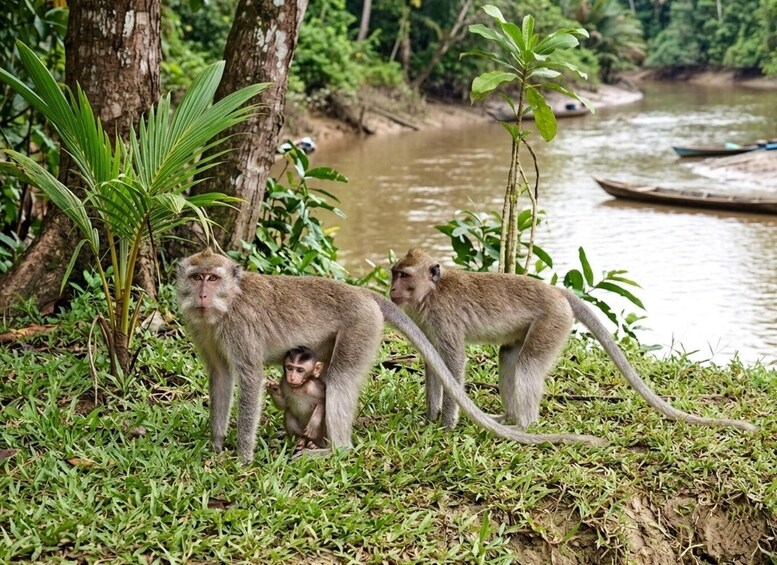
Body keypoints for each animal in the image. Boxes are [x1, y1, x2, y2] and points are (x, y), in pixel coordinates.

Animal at [176, 248, 606, 465]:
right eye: (196, 277)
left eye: (212, 278)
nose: (202, 294)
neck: (226, 306)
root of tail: (364, 294)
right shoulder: (204, 331)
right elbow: (220, 377)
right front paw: (217, 445)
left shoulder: (240, 331)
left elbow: (248, 380)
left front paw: (242, 459)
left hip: (361, 327)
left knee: (340, 380)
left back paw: (335, 450)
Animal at [389, 248, 758, 434]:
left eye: (403, 275)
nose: (391, 289)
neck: (430, 294)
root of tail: (558, 293)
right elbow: (433, 363)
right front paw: (431, 416)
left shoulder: (444, 318)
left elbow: (453, 363)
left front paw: (447, 424)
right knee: (509, 357)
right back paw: (509, 419)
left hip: (552, 322)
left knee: (526, 366)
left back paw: (524, 426)